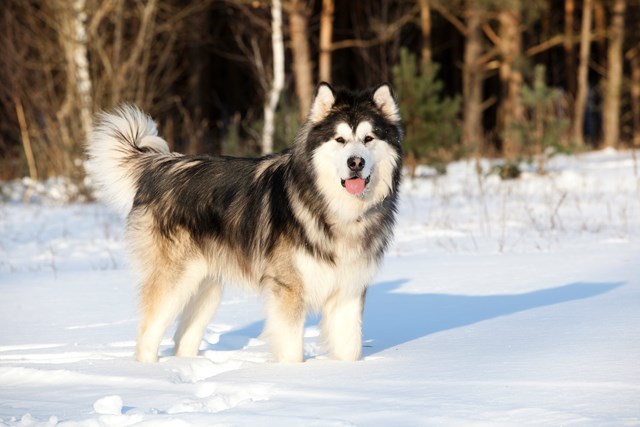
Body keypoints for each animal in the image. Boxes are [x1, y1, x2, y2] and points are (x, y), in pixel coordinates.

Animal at [86, 84, 400, 364]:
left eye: (369, 138)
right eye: (339, 140)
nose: (355, 162)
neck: (336, 209)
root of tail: (160, 166)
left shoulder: (348, 292)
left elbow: (350, 349)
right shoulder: (288, 290)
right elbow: (292, 351)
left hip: (206, 287)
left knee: (183, 339)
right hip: (174, 282)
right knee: (148, 334)